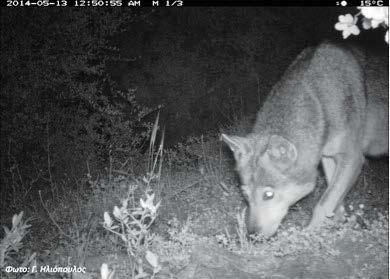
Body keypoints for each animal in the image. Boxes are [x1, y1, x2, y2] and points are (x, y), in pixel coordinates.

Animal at [221, 42, 388, 238]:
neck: (320, 100)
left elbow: (324, 203)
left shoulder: (353, 158)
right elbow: (336, 201)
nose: (252, 235)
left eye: (268, 195)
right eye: (246, 195)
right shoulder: (328, 157)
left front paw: (310, 234)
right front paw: (337, 227)